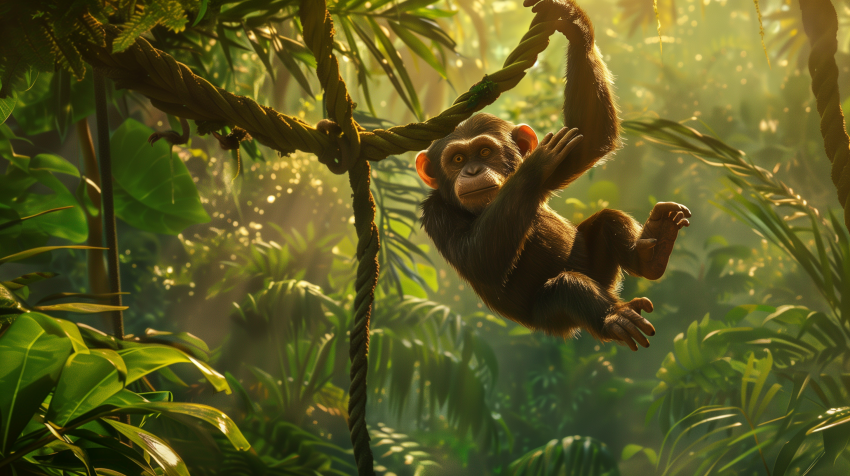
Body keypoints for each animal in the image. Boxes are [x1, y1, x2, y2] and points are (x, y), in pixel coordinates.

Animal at [415, 0, 691, 351]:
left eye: (485, 152)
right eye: (458, 158)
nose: (472, 169)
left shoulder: (564, 157)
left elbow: (589, 138)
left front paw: (572, 21)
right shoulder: (434, 213)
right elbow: (478, 258)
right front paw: (535, 163)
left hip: (598, 268)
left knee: (608, 220)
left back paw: (652, 250)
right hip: (553, 316)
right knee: (569, 287)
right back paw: (613, 318)